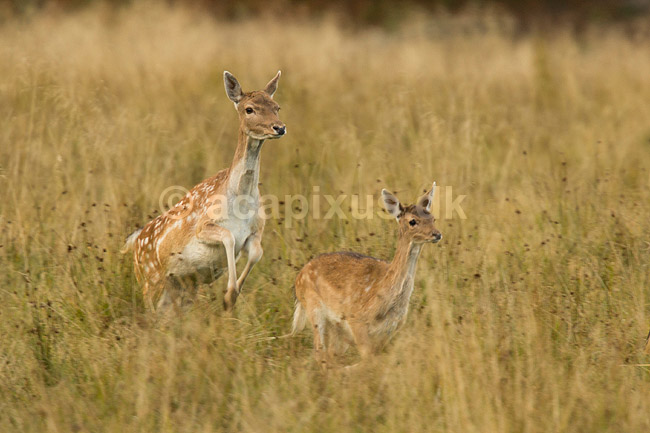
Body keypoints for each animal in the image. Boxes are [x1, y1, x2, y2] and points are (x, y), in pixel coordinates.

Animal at [121, 71, 286, 312]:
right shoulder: (203, 226)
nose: (279, 127)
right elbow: (228, 236)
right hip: (149, 281)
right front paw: (229, 295)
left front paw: (231, 297)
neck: (240, 201)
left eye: (276, 106)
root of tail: (133, 243)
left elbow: (257, 253)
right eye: (249, 109)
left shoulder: (256, 231)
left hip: (182, 287)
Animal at [291, 182, 442, 368]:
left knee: (330, 354)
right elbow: (368, 360)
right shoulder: (356, 319)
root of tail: (298, 279)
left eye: (433, 218)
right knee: (320, 353)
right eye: (413, 221)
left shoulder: (390, 330)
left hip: (335, 327)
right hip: (314, 307)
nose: (437, 234)